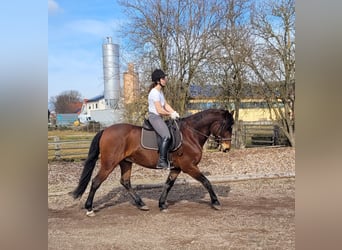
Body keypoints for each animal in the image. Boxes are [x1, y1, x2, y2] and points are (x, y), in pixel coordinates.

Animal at [71, 108, 234, 216]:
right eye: (227, 126)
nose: (227, 148)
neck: (190, 134)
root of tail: (105, 130)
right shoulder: (189, 166)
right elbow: (206, 181)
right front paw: (216, 202)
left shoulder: (176, 168)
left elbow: (168, 185)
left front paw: (162, 204)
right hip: (109, 164)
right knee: (96, 182)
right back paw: (89, 208)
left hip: (126, 162)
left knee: (125, 182)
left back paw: (141, 204)